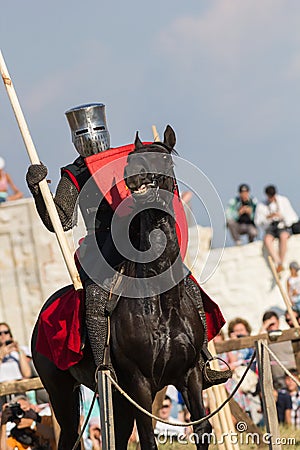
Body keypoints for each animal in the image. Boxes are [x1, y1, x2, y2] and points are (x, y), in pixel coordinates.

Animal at [31, 125, 211, 450]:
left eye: (165, 160)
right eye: (130, 161)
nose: (136, 177)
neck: (159, 302)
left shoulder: (189, 376)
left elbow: (202, 429)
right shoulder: (138, 385)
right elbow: (148, 439)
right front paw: (35, 176)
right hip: (62, 393)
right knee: (70, 434)